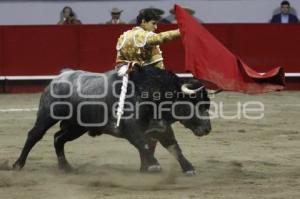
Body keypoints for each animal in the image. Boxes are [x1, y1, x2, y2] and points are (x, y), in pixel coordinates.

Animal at [12, 65, 212, 174]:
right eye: (195, 104)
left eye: (207, 105)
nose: (208, 129)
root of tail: (62, 76)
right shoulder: (130, 128)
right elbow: (144, 144)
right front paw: (154, 166)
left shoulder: (162, 128)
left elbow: (174, 148)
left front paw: (189, 168)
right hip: (47, 115)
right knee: (34, 135)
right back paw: (17, 165)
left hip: (78, 127)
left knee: (58, 138)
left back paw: (65, 167)